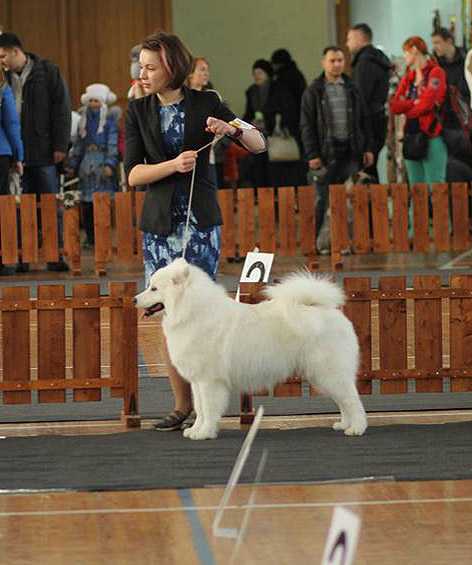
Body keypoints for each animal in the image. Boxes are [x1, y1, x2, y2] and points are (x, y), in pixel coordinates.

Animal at [135, 258, 366, 440]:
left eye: (154, 289)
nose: (134, 299)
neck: (192, 312)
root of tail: (326, 309)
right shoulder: (197, 380)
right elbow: (199, 408)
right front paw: (195, 430)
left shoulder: (209, 380)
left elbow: (208, 408)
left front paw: (205, 433)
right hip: (323, 375)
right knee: (343, 401)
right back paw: (344, 424)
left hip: (329, 372)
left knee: (352, 400)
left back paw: (356, 428)